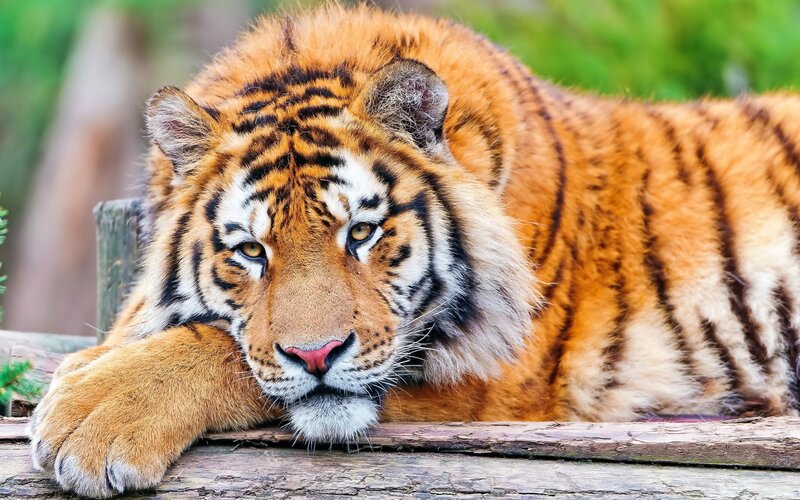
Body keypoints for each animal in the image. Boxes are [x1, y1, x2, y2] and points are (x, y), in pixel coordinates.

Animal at [28, 4, 800, 497]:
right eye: (250, 251)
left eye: (361, 234)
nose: (317, 355)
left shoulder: (496, 376)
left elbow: (226, 350)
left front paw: (88, 414)